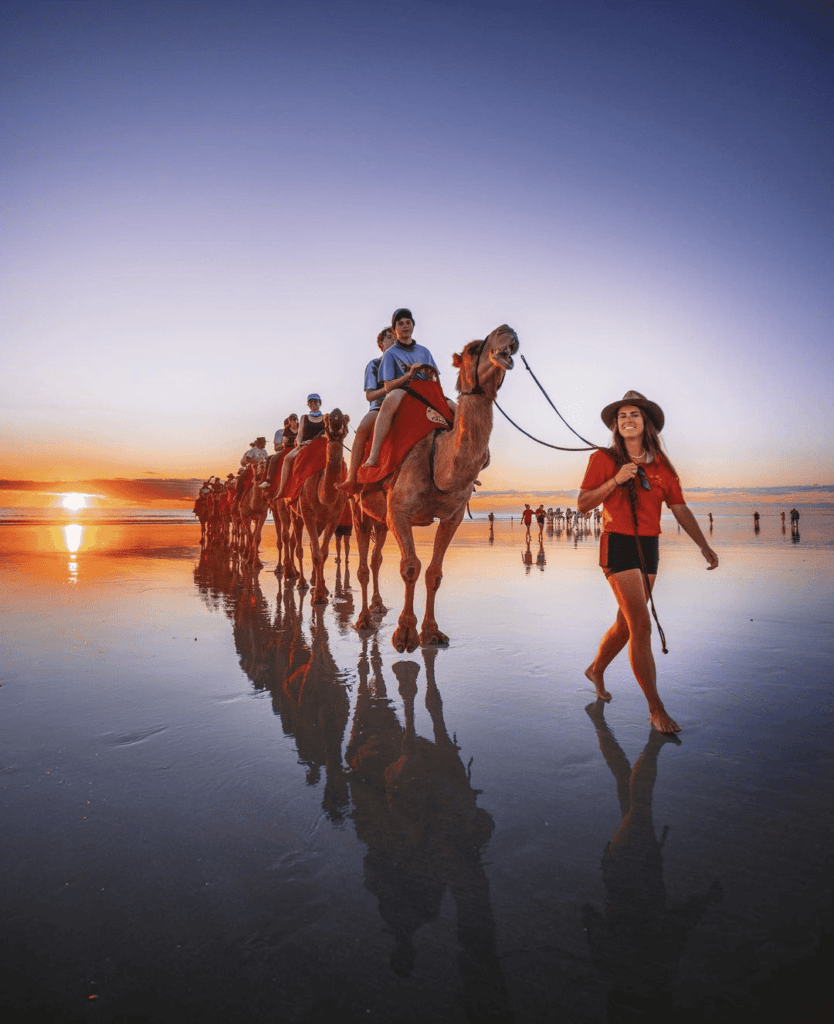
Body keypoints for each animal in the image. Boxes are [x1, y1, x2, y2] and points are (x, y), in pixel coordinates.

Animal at [286, 405, 352, 602]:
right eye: (326, 418)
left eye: (346, 419)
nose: (336, 417)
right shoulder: (307, 513)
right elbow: (315, 554)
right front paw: (318, 597)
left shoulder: (335, 517)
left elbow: (323, 553)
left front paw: (322, 591)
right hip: (295, 512)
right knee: (298, 546)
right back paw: (301, 582)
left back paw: (316, 581)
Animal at [354, 323, 522, 651]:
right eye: (472, 349)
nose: (507, 330)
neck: (437, 462)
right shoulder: (399, 512)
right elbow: (410, 566)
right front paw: (404, 635)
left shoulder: (452, 516)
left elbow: (433, 572)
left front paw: (431, 632)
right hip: (357, 507)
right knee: (364, 565)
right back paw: (364, 620)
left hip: (380, 519)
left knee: (376, 558)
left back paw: (378, 607)